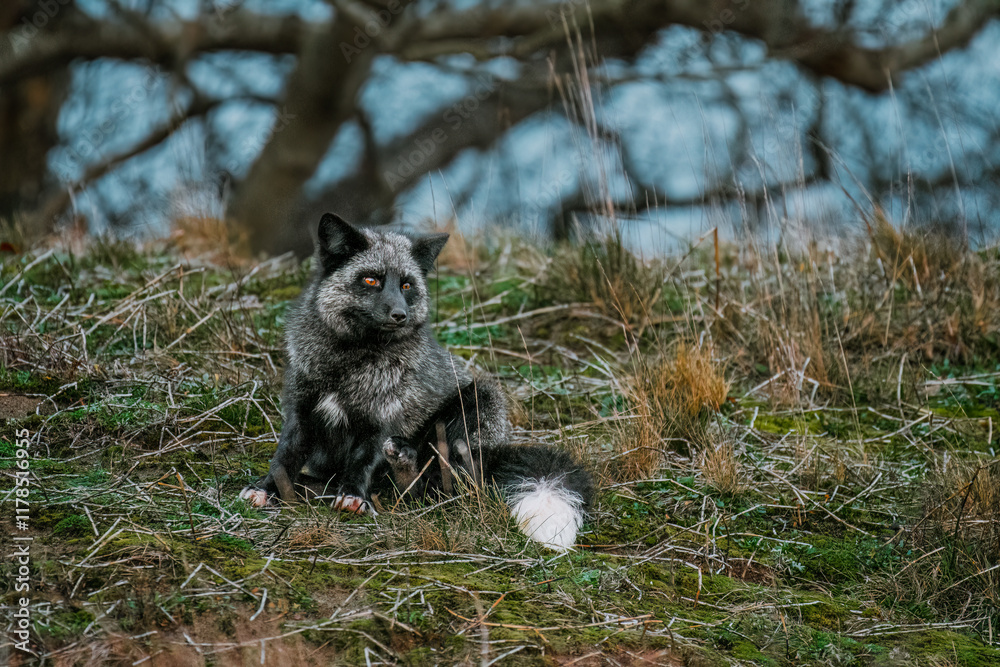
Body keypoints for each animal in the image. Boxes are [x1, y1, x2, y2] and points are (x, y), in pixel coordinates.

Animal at [240, 213, 594, 550]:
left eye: (407, 285)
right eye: (371, 280)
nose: (400, 315)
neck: (348, 365)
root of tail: (499, 452)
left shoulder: (383, 418)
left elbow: (362, 461)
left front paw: (354, 496)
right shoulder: (301, 410)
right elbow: (284, 459)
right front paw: (266, 489)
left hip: (480, 399)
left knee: (442, 486)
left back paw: (406, 466)